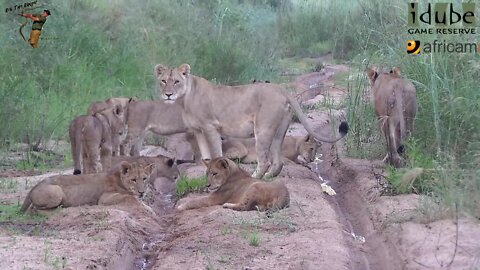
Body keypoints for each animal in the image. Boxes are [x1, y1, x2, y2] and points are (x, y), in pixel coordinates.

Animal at [156, 62, 346, 177]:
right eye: (163, 81)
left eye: (177, 81)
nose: (168, 94)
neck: (184, 99)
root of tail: (280, 89)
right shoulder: (198, 131)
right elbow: (205, 153)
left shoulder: (211, 127)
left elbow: (216, 153)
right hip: (279, 132)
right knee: (278, 162)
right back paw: (268, 178)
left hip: (262, 130)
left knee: (265, 160)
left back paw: (255, 178)